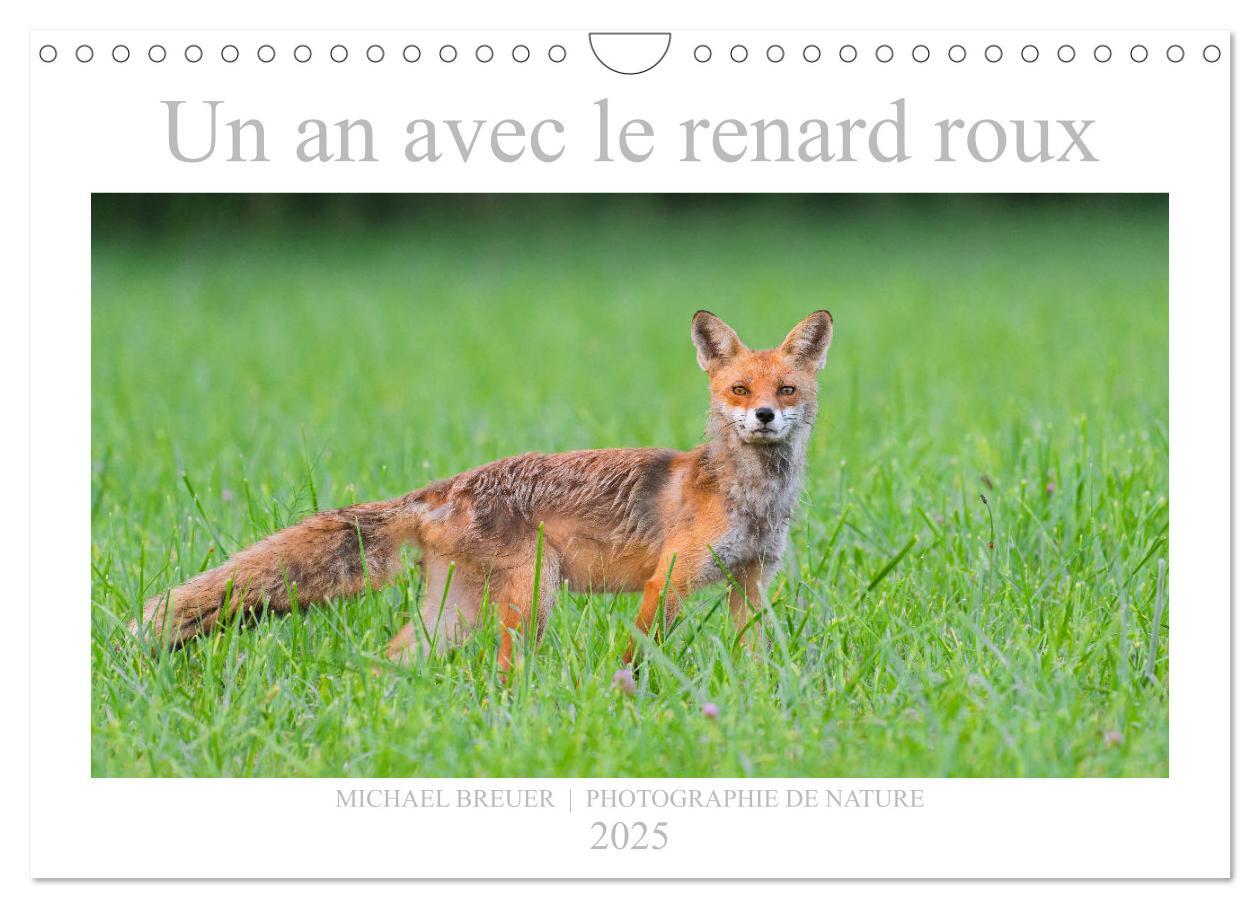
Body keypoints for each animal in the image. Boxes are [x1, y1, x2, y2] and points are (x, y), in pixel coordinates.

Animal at [133, 309, 833, 674]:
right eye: (740, 389)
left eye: (787, 390)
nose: (765, 416)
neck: (750, 499)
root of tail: (446, 485)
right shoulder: (670, 580)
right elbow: (638, 652)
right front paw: (625, 696)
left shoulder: (750, 580)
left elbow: (756, 653)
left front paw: (760, 701)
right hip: (531, 596)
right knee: (503, 668)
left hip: (454, 611)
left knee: (394, 654)